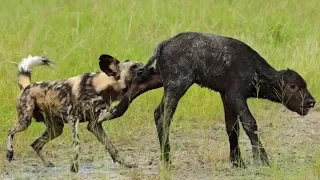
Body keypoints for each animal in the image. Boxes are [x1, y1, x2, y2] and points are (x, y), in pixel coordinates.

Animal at [6, 54, 145, 172]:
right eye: (133, 67)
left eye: (142, 64)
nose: (147, 69)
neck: (102, 87)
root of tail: (27, 86)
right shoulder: (74, 118)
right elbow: (76, 144)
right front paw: (74, 168)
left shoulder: (94, 125)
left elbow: (112, 148)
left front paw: (126, 163)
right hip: (25, 121)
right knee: (10, 131)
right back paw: (9, 153)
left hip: (56, 129)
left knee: (35, 144)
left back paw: (48, 164)